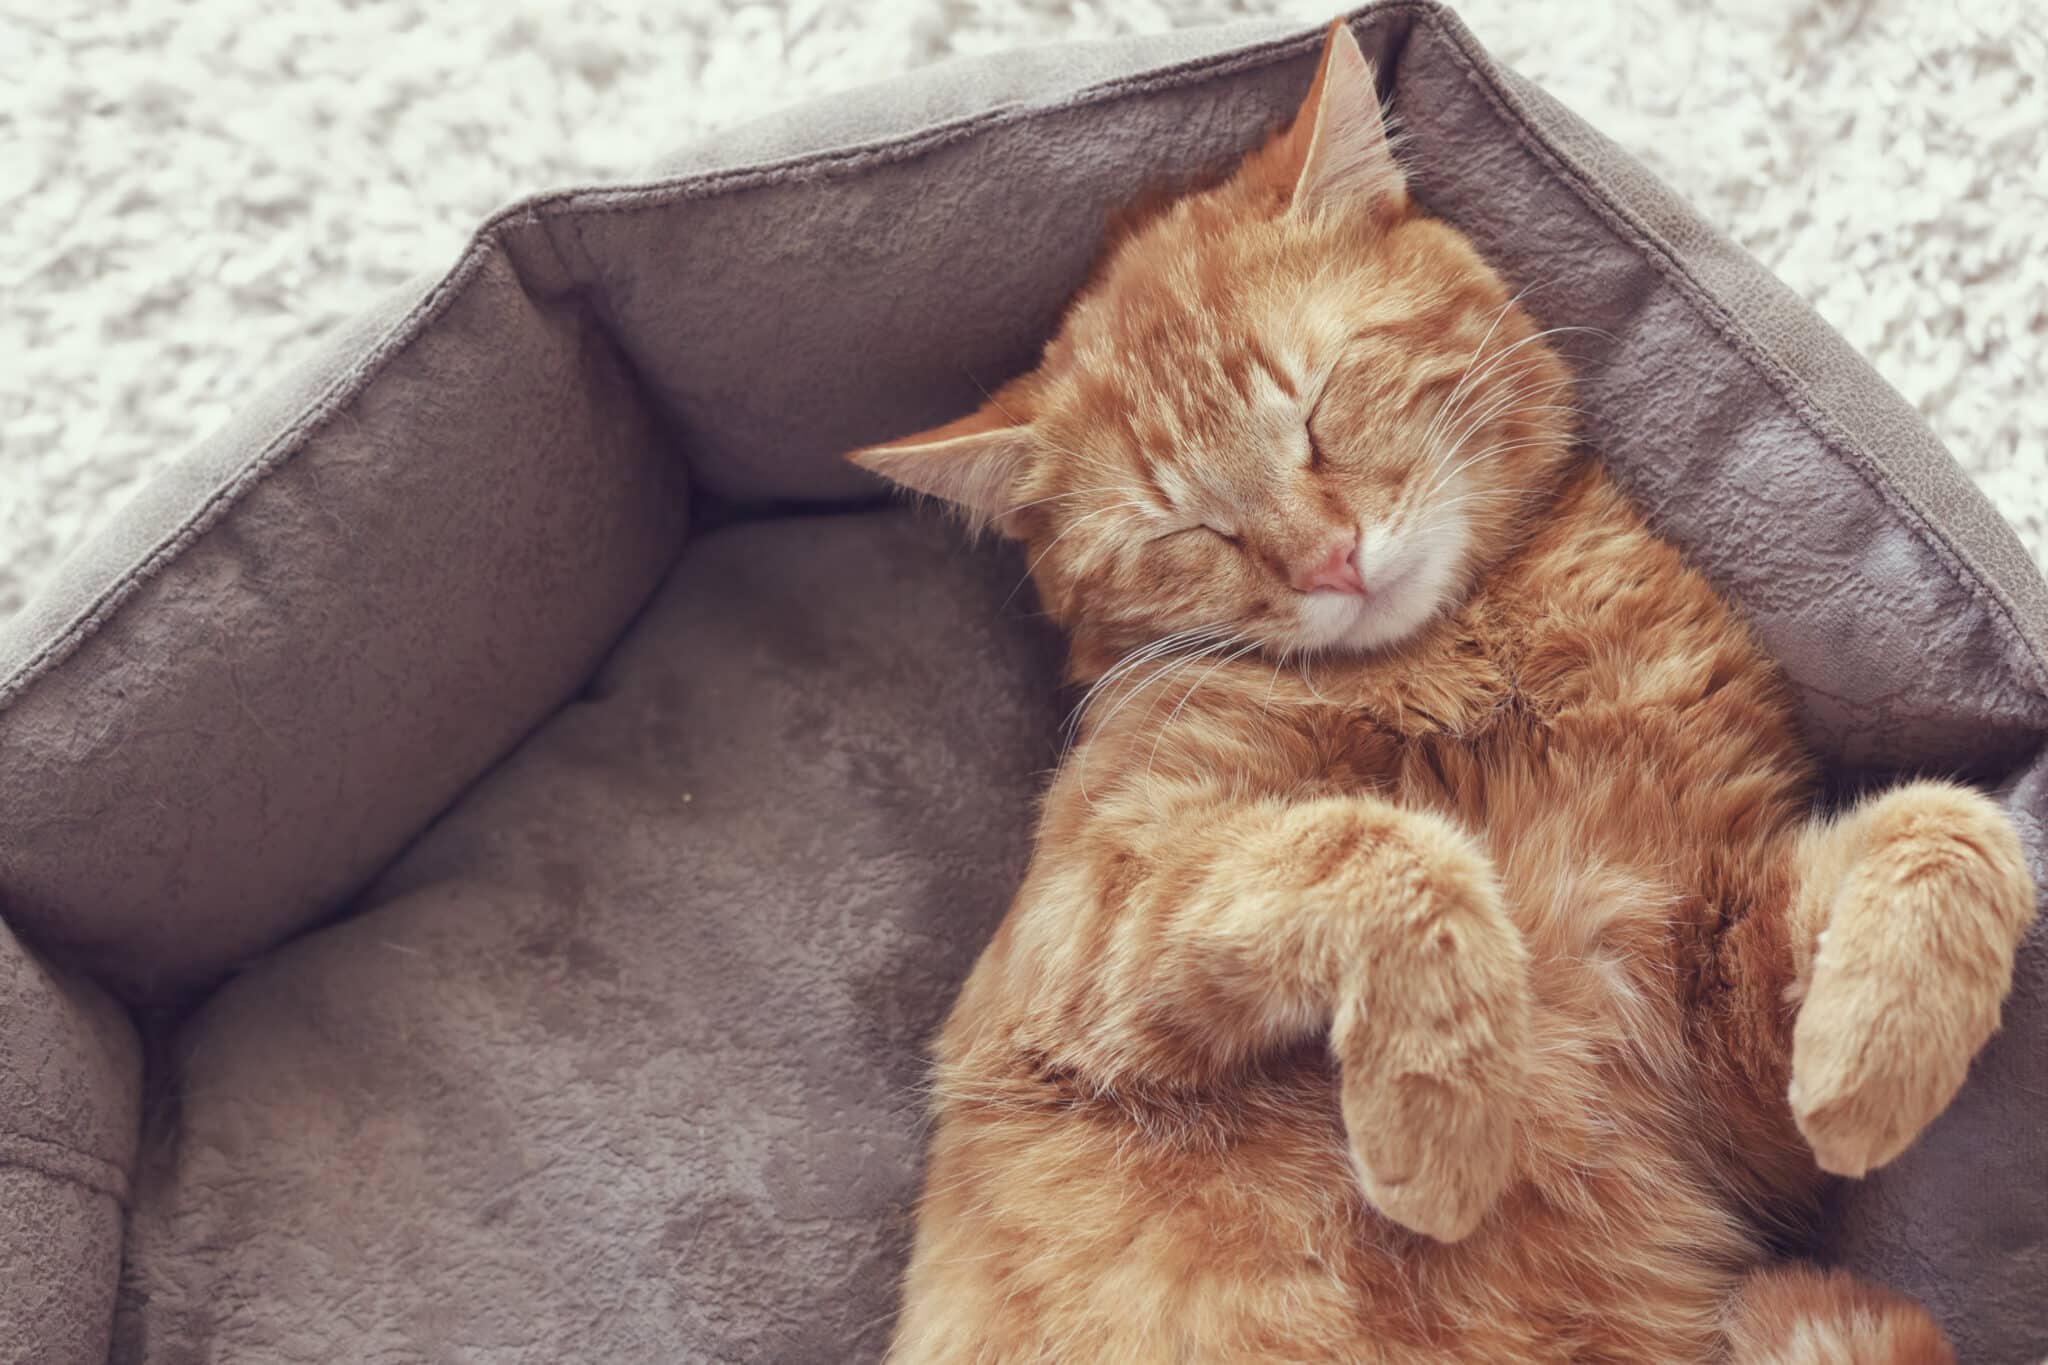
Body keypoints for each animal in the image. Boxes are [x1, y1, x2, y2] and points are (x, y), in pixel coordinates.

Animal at [843, 24, 2031, 1365]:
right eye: (1183, 530)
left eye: (1316, 405)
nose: (1325, 562)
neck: (1470, 656)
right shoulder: (1088, 926)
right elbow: (1394, 850)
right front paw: (1445, 1125)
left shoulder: (1713, 1009)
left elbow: (1955, 824)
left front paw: (1869, 1071)